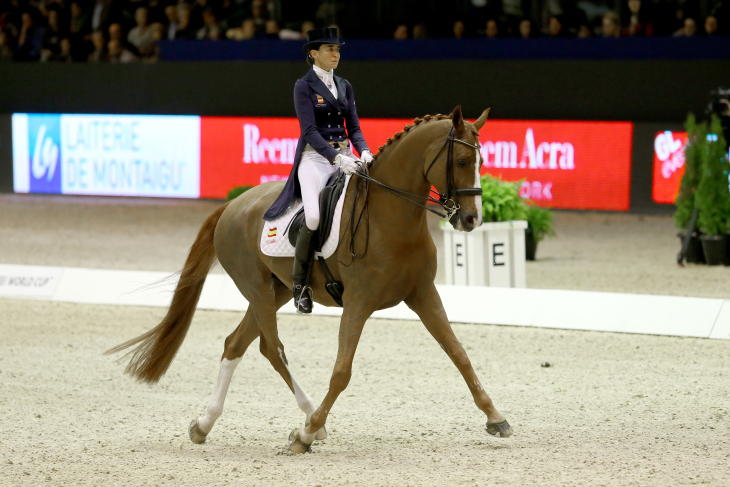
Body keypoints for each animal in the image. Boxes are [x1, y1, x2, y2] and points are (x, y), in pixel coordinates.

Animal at [106, 106, 512, 454]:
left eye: (482, 161)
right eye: (461, 161)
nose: (472, 220)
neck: (390, 217)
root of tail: (232, 205)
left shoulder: (423, 293)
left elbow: (459, 355)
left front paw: (496, 418)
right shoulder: (359, 303)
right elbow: (341, 372)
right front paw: (305, 435)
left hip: (278, 291)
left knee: (236, 343)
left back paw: (204, 425)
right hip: (256, 289)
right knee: (272, 348)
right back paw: (308, 423)